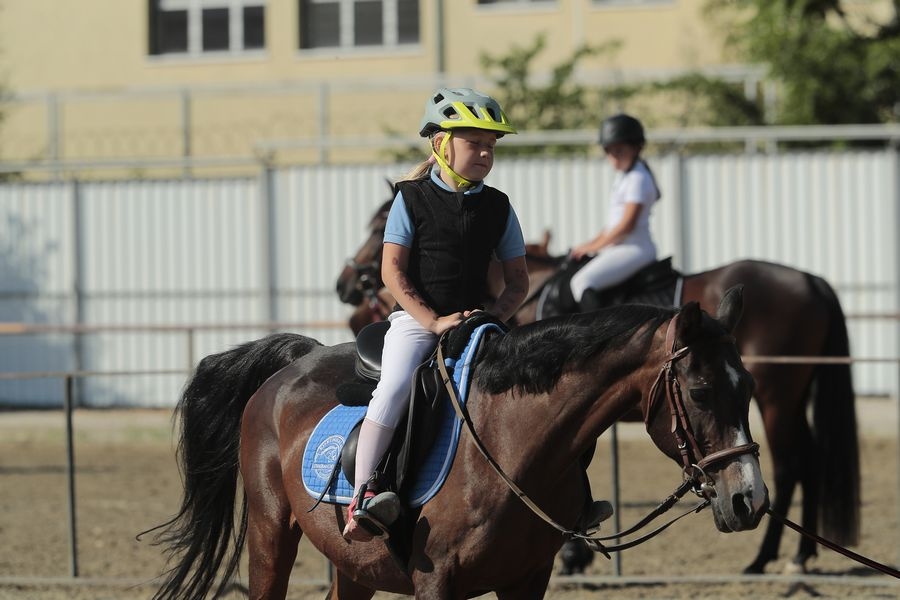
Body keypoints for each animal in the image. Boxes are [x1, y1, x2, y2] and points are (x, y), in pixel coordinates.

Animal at [148, 287, 768, 599]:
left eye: (749, 388)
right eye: (702, 392)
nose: (749, 501)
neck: (510, 448)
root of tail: (296, 361)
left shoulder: (526, 582)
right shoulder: (436, 584)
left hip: (351, 564)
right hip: (271, 534)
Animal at [334, 203, 859, 575]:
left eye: (381, 222)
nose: (345, 284)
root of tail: (811, 281)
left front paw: (572, 555)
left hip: (777, 398)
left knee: (792, 463)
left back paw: (768, 558)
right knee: (810, 460)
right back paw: (797, 555)